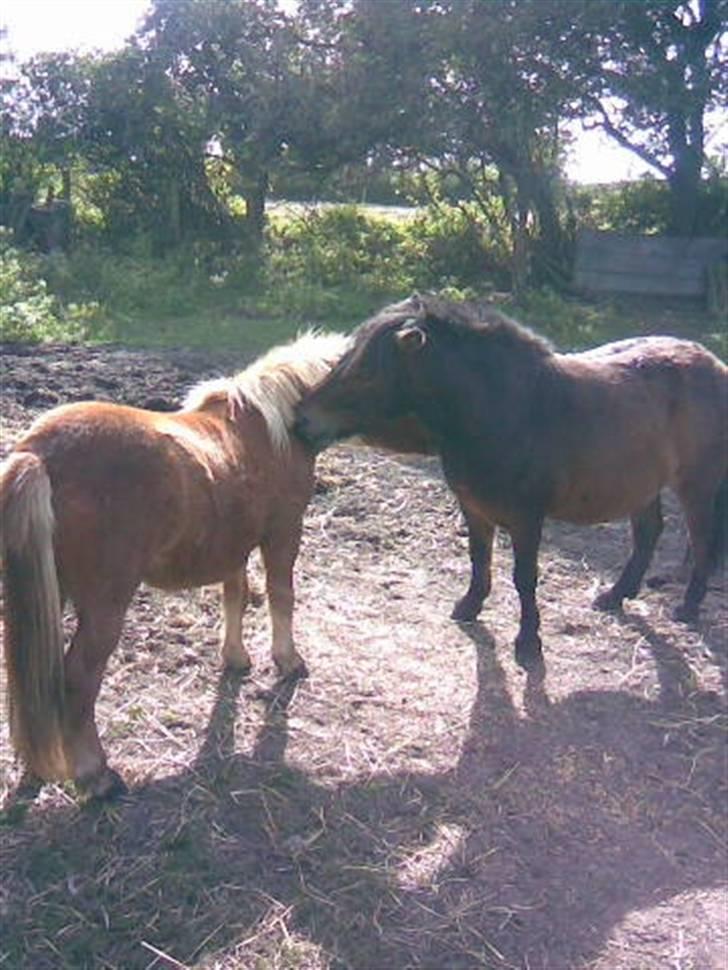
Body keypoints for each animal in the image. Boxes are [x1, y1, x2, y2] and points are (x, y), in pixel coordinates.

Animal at [1, 328, 350, 796]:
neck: (270, 426)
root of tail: (38, 455)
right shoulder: (283, 534)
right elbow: (281, 595)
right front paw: (288, 661)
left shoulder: (233, 546)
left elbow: (235, 595)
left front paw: (235, 657)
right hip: (103, 608)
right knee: (77, 681)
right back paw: (97, 776)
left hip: (45, 594)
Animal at [298, 294, 728, 668]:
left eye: (366, 374)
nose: (303, 420)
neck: (505, 410)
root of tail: (713, 363)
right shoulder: (474, 508)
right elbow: (479, 560)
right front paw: (470, 606)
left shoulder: (526, 518)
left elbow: (524, 578)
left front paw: (528, 641)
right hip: (642, 484)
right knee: (649, 533)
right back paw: (615, 595)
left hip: (696, 485)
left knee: (702, 541)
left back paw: (688, 607)